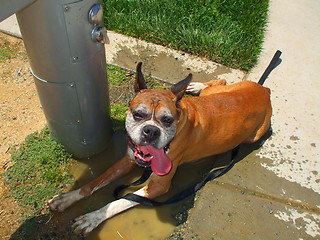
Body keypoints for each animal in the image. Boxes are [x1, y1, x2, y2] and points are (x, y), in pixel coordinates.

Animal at [48, 61, 272, 234]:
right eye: (138, 114)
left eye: (167, 120)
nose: (151, 131)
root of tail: (264, 90)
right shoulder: (127, 160)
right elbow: (94, 182)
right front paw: (67, 198)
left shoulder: (158, 186)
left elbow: (120, 201)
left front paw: (92, 218)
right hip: (217, 92)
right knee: (220, 81)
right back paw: (195, 86)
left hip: (254, 135)